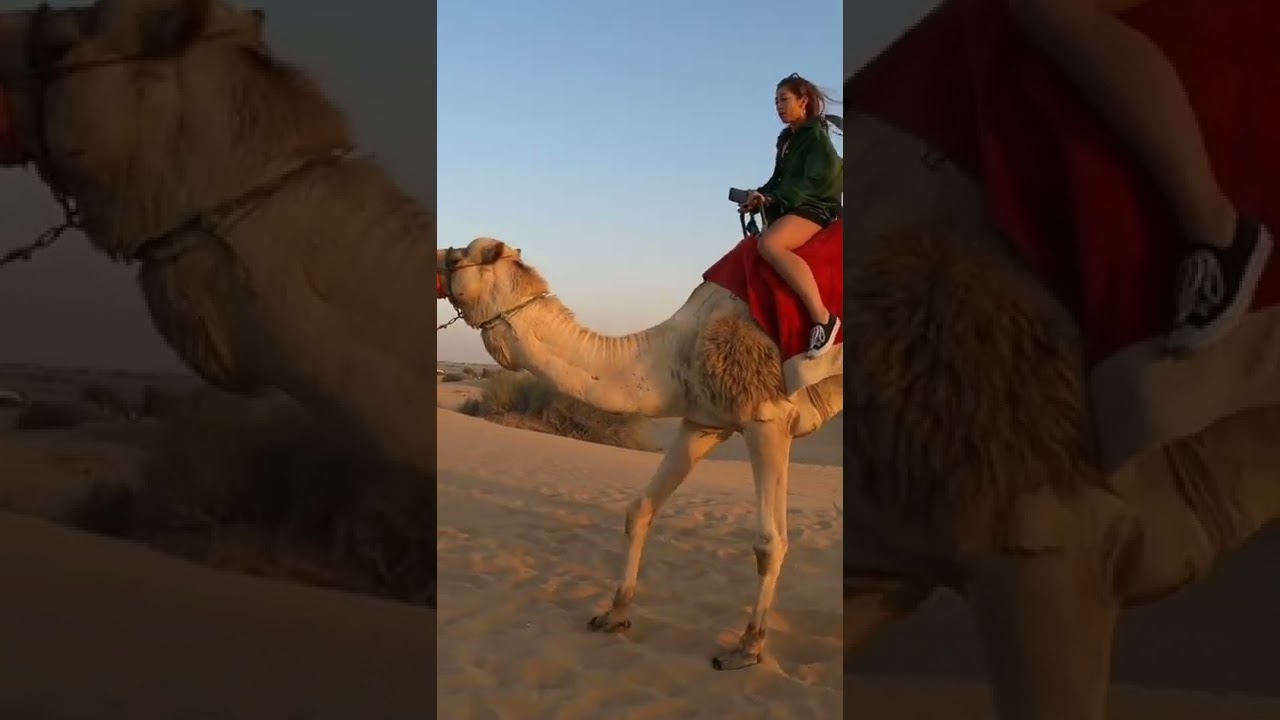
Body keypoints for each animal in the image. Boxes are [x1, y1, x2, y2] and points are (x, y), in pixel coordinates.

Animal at [438, 238, 845, 669]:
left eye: (458, 256)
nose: (438, 258)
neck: (678, 349)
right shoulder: (703, 422)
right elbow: (641, 510)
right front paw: (613, 615)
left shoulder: (767, 417)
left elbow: (770, 541)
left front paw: (747, 647)